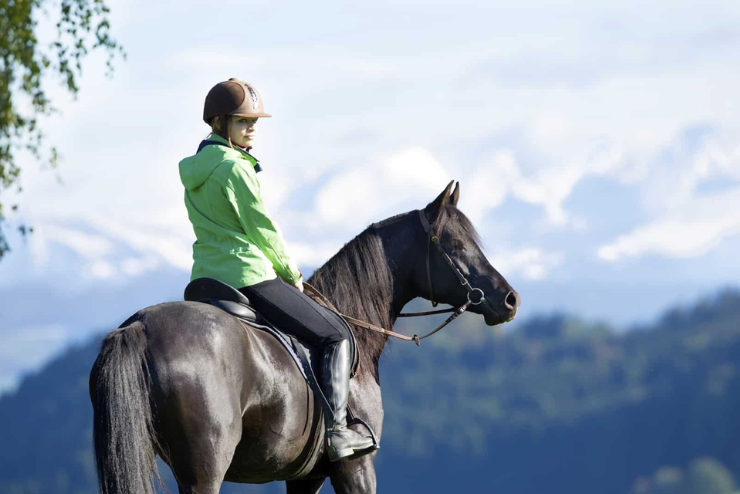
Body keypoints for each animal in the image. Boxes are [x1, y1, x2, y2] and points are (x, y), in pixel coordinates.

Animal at [89, 180, 520, 494]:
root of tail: (139, 327)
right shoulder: (356, 467)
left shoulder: (304, 477)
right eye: (455, 244)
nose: (509, 299)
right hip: (204, 470)